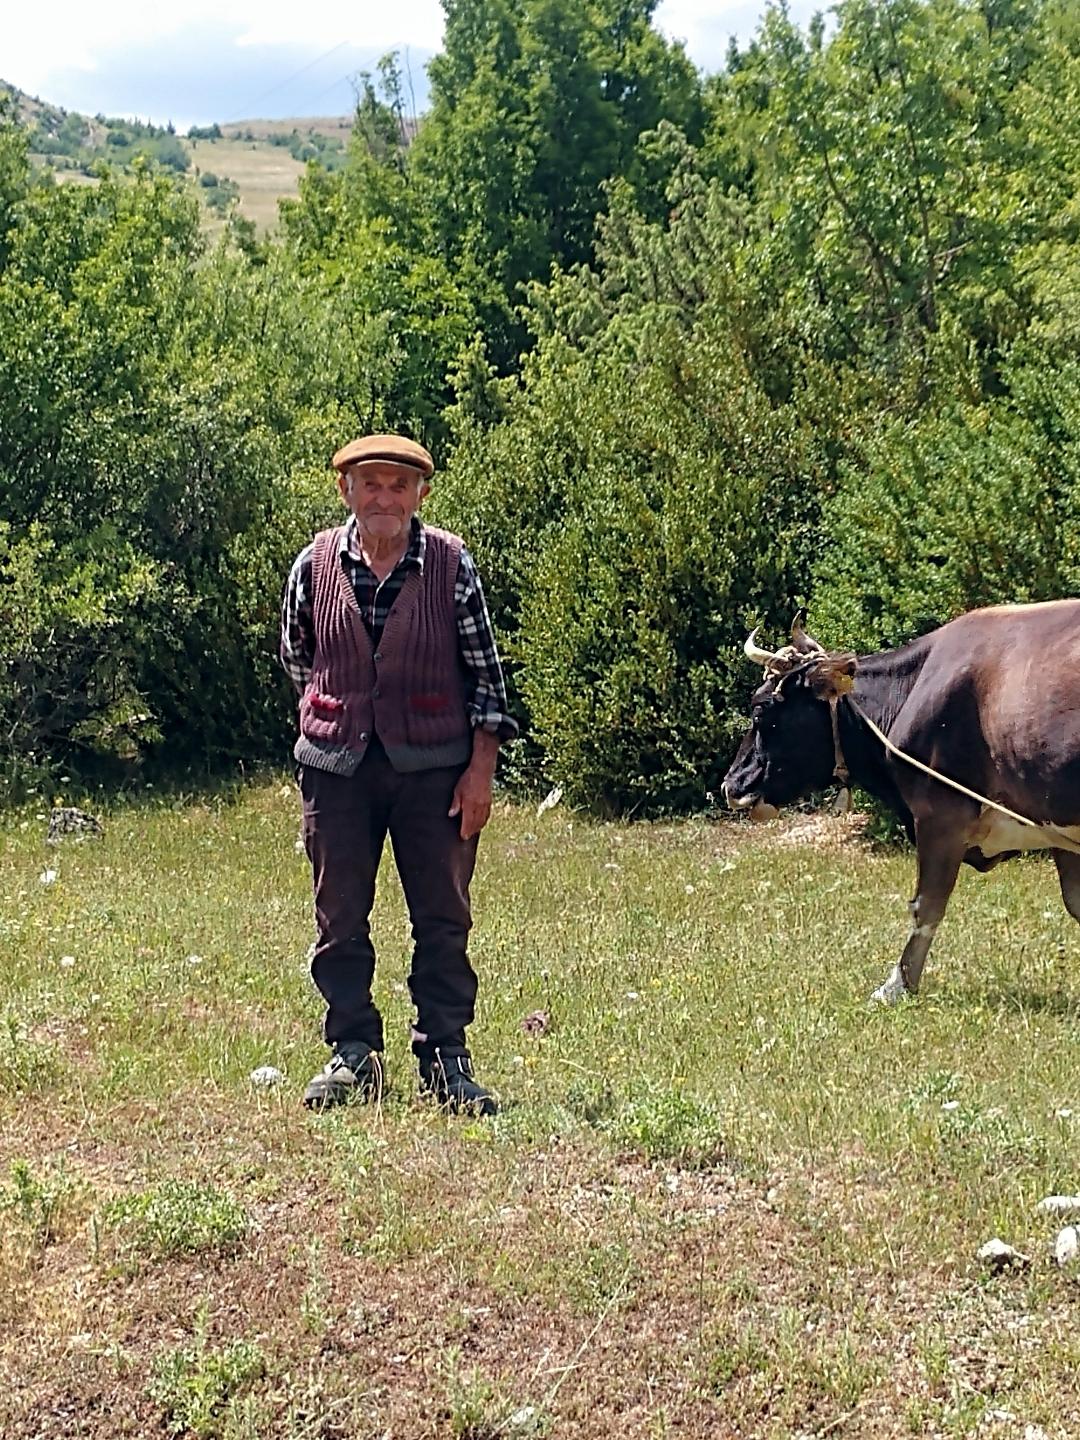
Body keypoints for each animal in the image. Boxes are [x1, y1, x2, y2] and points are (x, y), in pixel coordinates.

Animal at [722, 599, 1080, 1002]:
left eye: (761, 710)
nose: (730, 785)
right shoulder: (1055, 824)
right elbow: (1075, 900)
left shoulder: (940, 815)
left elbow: (927, 904)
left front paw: (897, 984)